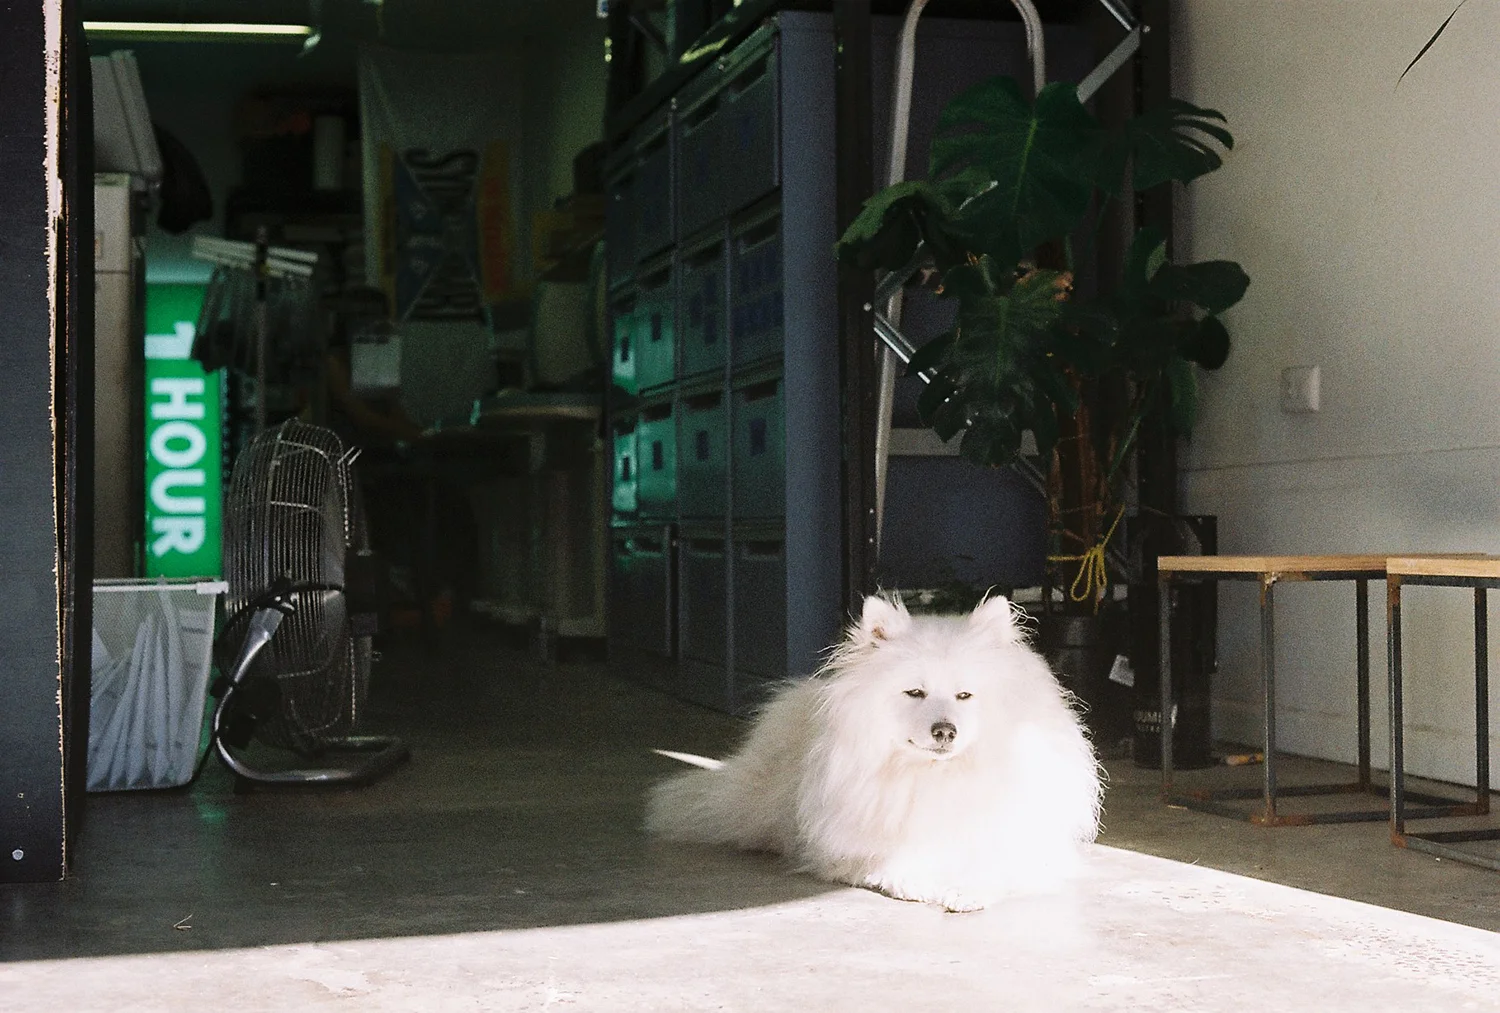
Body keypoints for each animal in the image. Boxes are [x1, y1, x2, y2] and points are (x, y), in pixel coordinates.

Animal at [645, 593, 1103, 912]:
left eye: (964, 695)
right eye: (914, 692)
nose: (945, 731)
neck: (934, 776)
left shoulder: (1026, 842)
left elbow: (997, 861)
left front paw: (966, 888)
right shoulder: (850, 846)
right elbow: (891, 861)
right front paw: (920, 879)